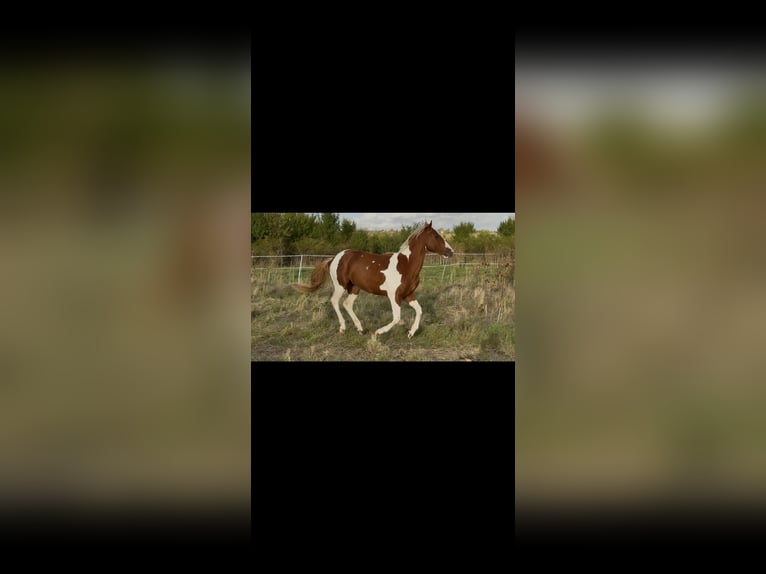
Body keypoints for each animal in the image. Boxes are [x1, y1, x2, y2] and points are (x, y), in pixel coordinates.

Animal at [293, 221, 454, 338]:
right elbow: (397, 317)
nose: (451, 252)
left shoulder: (408, 294)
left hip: (355, 288)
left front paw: (410, 333)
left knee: (347, 304)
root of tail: (335, 258)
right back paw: (343, 328)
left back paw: (360, 329)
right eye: (436, 236)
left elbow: (419, 310)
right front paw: (378, 332)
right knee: (334, 301)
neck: (406, 265)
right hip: (340, 286)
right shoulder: (394, 296)